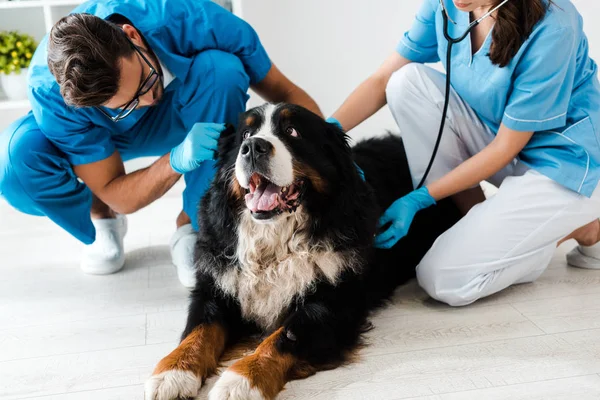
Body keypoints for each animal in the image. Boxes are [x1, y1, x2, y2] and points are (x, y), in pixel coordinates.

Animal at [144, 104, 460, 400]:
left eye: (292, 131)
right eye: (245, 135)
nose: (253, 147)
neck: (274, 245)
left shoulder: (333, 304)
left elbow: (284, 337)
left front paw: (241, 380)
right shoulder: (216, 287)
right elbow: (199, 330)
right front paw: (171, 373)